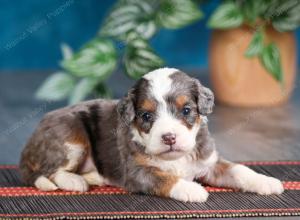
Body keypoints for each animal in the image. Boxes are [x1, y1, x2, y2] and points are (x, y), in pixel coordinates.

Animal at [19, 68, 284, 202]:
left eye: (186, 110)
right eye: (146, 116)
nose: (169, 137)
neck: (176, 158)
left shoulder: (209, 161)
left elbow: (239, 170)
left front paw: (267, 181)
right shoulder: (137, 172)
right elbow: (165, 178)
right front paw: (192, 190)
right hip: (71, 135)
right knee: (48, 171)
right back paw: (75, 181)